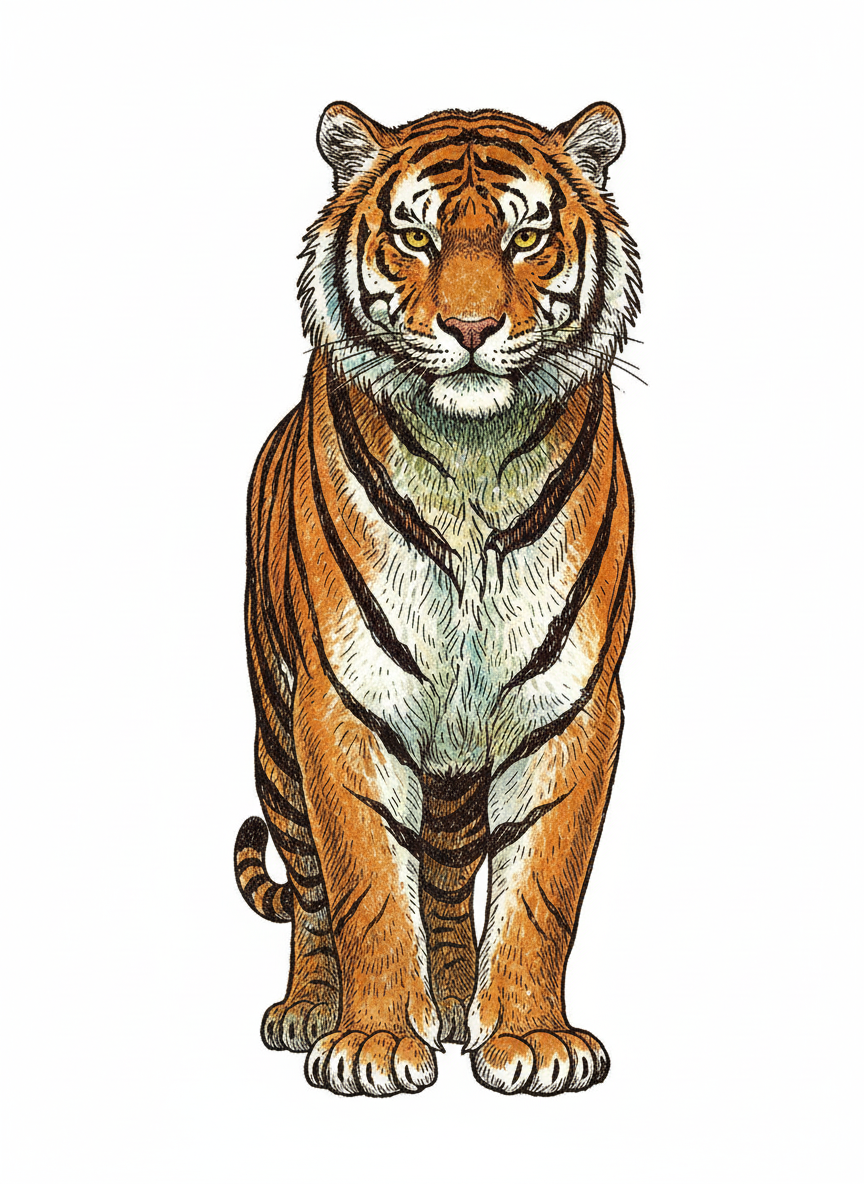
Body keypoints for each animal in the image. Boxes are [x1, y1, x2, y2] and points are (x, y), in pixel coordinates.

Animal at [234, 100, 641, 1096]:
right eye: (415, 237)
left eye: (526, 237)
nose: (470, 327)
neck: (472, 460)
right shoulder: (342, 703)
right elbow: (367, 888)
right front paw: (374, 1043)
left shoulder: (572, 705)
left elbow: (541, 891)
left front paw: (530, 1039)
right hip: (276, 739)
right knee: (311, 891)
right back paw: (309, 1010)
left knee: (451, 879)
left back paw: (455, 1004)